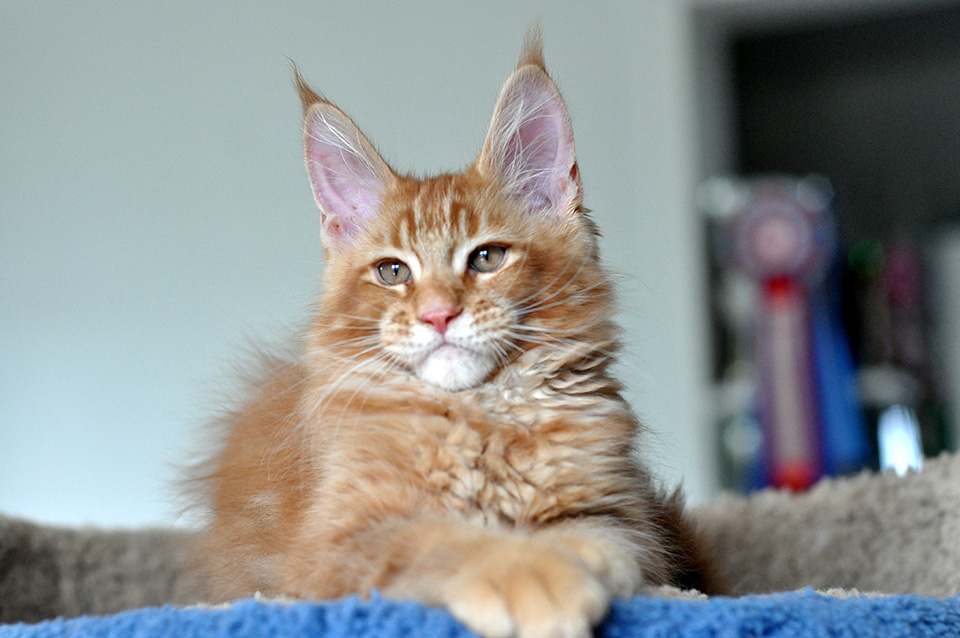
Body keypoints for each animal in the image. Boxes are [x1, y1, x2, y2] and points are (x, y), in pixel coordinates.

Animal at [191, 33, 712, 638]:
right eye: (393, 272)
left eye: (486, 258)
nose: (439, 315)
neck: (480, 416)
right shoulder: (333, 544)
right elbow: (439, 541)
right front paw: (530, 571)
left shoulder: (628, 519)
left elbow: (605, 540)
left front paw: (575, 556)